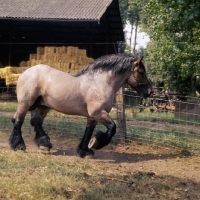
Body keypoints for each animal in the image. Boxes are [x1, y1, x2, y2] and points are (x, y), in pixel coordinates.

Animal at [9, 53, 152, 158]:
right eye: (141, 72)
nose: (150, 92)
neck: (99, 83)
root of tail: (25, 71)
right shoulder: (98, 113)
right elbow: (112, 128)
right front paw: (96, 143)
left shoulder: (93, 116)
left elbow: (88, 131)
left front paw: (85, 151)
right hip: (25, 103)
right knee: (18, 121)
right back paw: (18, 146)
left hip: (42, 106)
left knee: (35, 121)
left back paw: (45, 144)